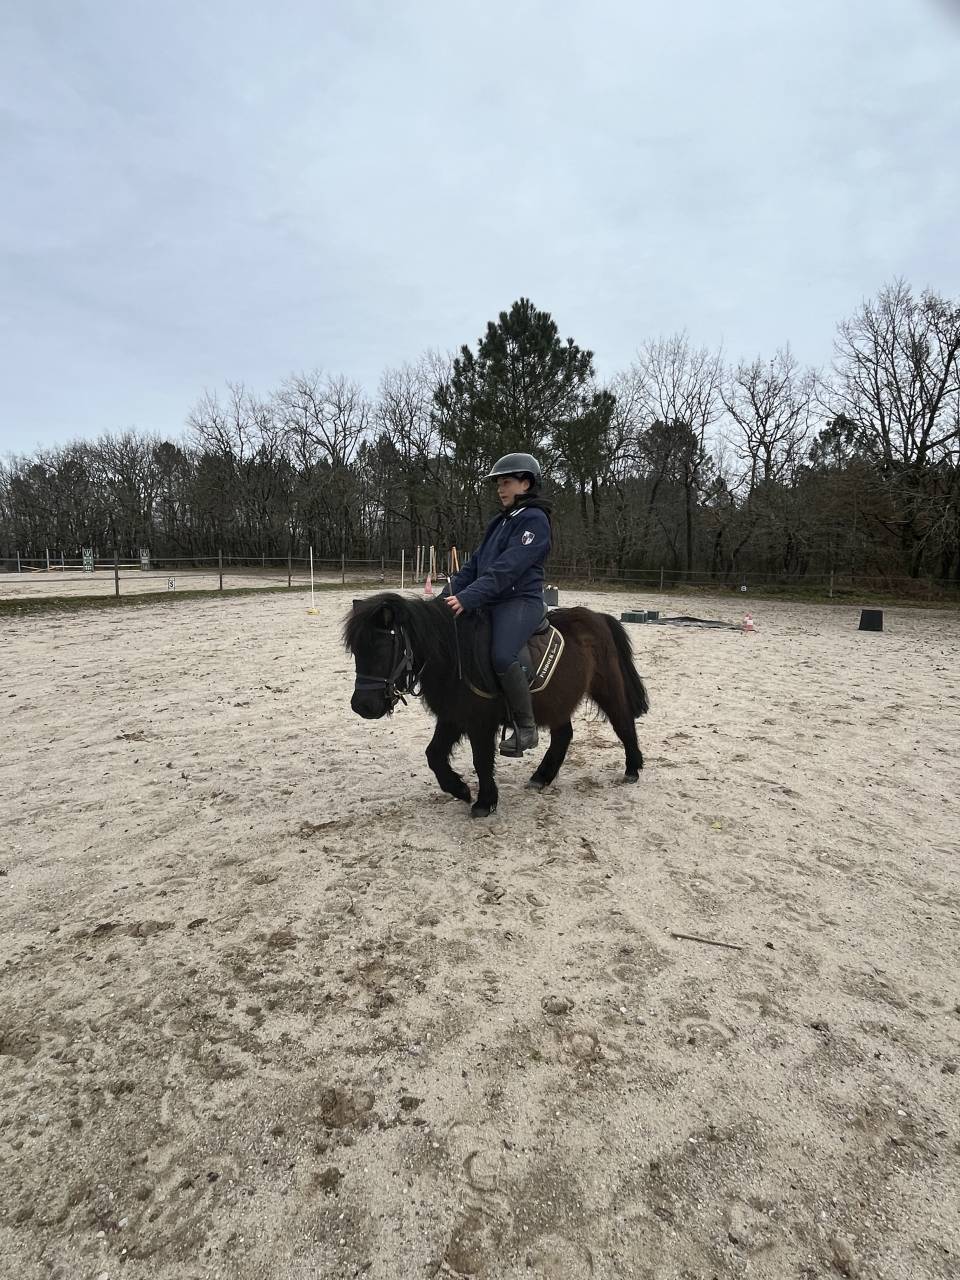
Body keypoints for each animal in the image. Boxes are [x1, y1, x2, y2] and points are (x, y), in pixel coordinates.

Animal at [343, 593, 649, 818]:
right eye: (356, 650)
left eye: (382, 647)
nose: (362, 706)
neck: (454, 655)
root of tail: (599, 617)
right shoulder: (453, 716)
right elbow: (434, 755)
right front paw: (460, 790)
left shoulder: (480, 722)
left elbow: (481, 760)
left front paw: (484, 801)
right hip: (559, 699)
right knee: (564, 735)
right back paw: (542, 777)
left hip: (607, 688)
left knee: (623, 722)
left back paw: (632, 769)